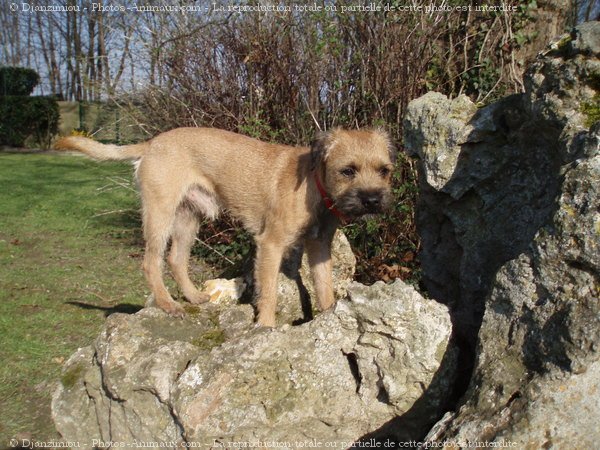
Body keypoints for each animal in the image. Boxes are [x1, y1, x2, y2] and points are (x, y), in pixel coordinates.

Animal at [55, 128, 394, 326]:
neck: (313, 185)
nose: (372, 200)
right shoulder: (270, 245)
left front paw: (327, 318)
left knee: (175, 259)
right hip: (160, 214)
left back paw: (193, 298)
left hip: (188, 218)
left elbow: (324, 288)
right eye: (347, 171)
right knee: (151, 262)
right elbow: (268, 292)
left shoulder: (319, 247)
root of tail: (151, 143)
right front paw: (265, 327)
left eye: (385, 171)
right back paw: (167, 305)